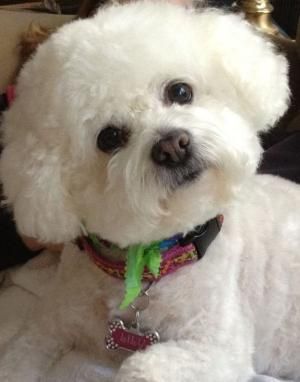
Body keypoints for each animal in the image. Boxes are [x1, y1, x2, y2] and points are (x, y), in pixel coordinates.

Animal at [0, 1, 300, 380]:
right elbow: (18, 356)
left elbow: (142, 364)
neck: (152, 262)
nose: (172, 146)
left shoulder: (218, 349)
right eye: (109, 137)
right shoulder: (49, 322)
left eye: (180, 91)